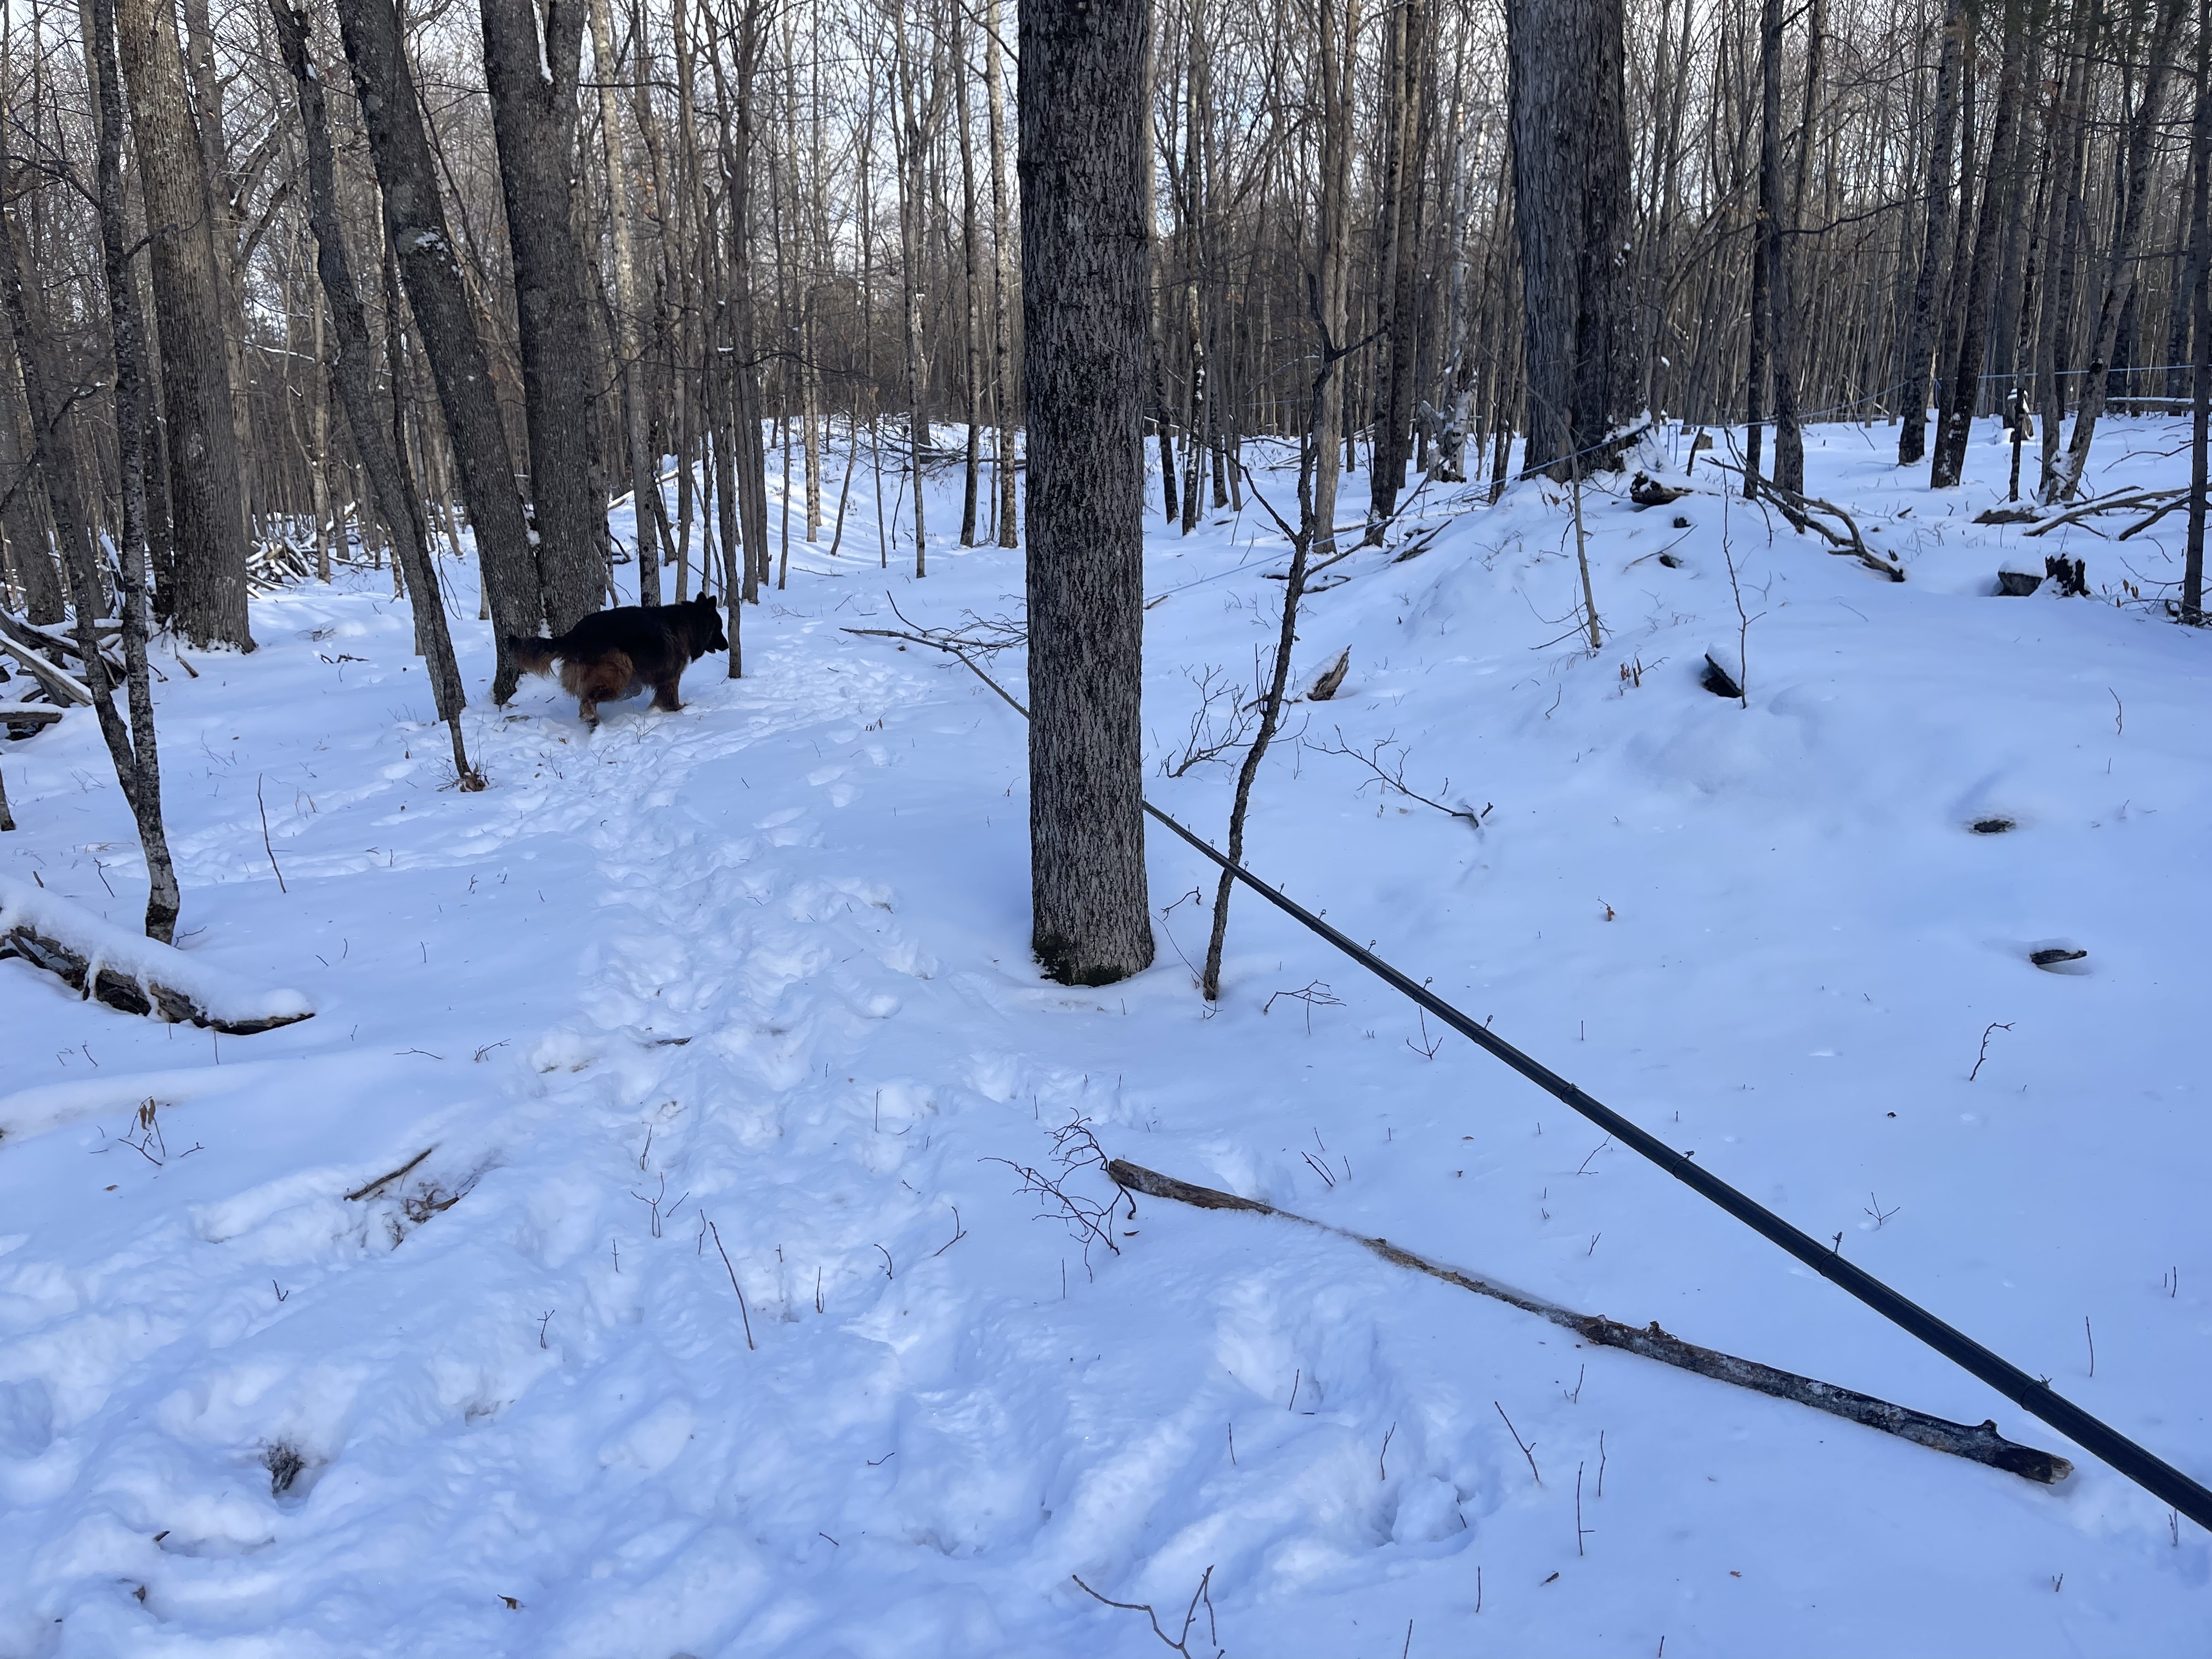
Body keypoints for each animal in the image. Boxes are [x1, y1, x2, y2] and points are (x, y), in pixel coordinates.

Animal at [506, 593, 729, 724]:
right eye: (719, 628)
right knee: (591, 696)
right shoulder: (671, 675)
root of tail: (574, 635)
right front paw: (677, 710)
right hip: (621, 665)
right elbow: (671, 695)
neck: (689, 622)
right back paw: (591, 715)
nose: (727, 646)